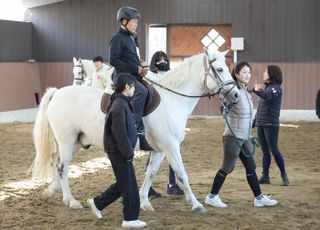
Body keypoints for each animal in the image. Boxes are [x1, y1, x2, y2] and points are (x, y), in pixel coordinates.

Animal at [32, 49, 239, 214]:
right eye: (220, 69)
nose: (236, 94)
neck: (172, 99)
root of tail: (57, 93)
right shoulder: (170, 146)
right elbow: (181, 173)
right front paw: (196, 204)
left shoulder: (160, 149)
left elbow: (151, 173)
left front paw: (145, 202)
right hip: (67, 141)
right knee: (62, 167)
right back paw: (71, 200)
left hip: (73, 142)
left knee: (55, 161)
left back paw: (52, 191)